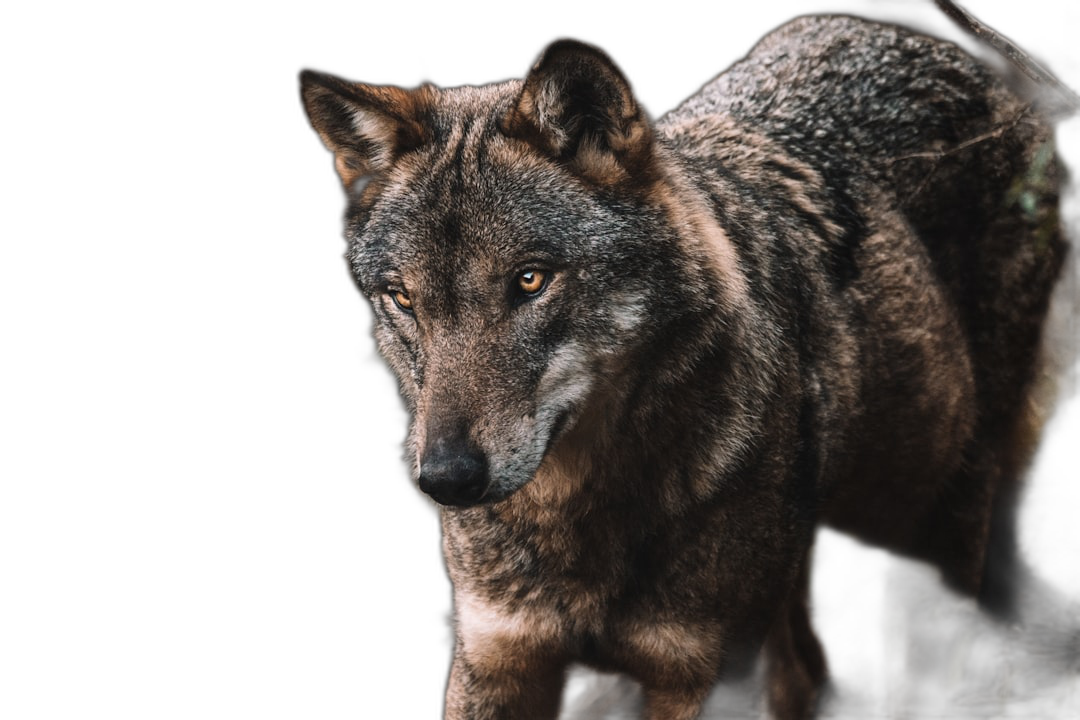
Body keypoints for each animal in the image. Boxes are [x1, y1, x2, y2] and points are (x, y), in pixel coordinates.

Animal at [300, 16, 1075, 720]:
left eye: (530, 280)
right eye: (402, 298)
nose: (447, 480)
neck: (579, 517)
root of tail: (946, 49)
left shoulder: (702, 677)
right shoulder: (497, 660)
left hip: (935, 546)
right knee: (807, 674)